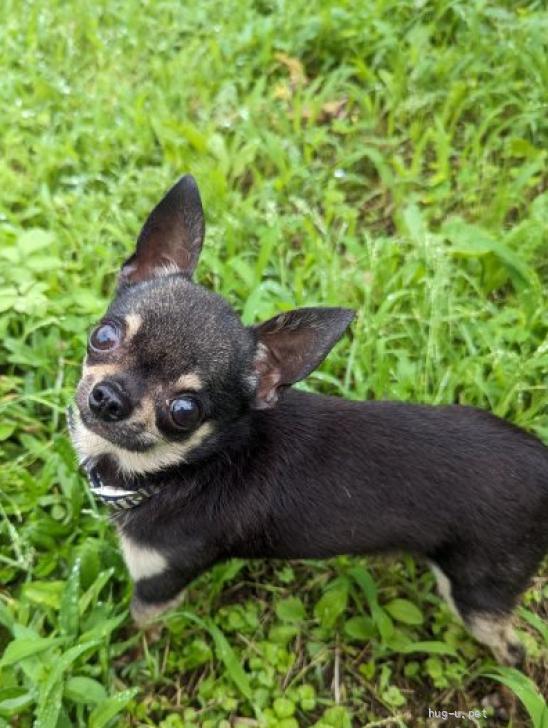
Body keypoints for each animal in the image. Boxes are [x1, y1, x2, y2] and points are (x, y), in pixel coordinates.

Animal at [68, 173, 548, 664]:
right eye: (103, 336)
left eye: (184, 412)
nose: (109, 399)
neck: (181, 469)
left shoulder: (159, 581)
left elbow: (139, 626)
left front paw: (127, 662)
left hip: (478, 592)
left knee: (512, 648)